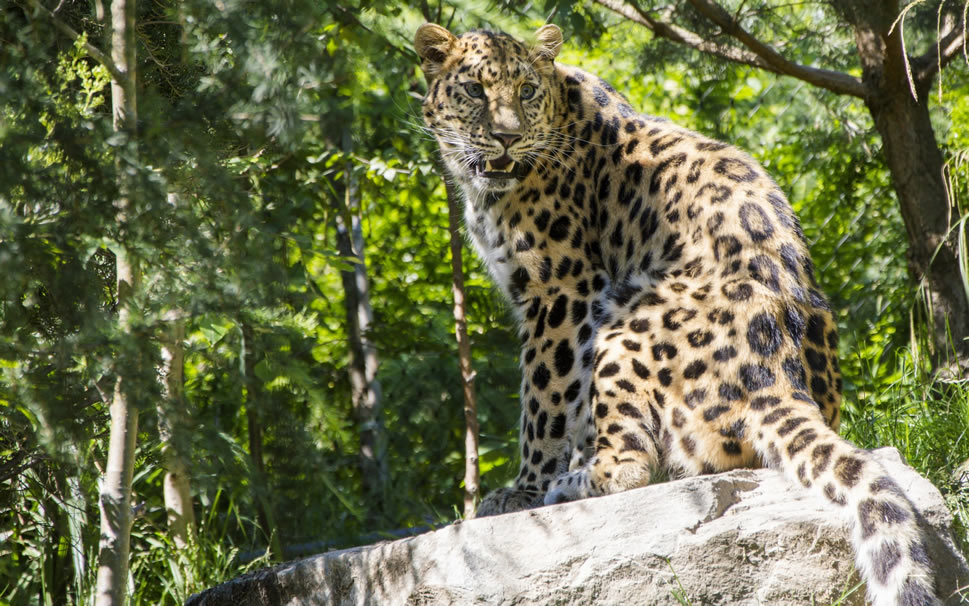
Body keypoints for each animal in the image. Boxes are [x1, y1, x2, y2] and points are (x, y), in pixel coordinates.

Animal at [414, 21, 936, 604]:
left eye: (526, 91)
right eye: (475, 90)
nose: (506, 137)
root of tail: (780, 376)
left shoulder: (561, 292)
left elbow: (545, 400)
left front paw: (523, 489)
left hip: (621, 322)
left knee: (632, 465)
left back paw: (568, 485)